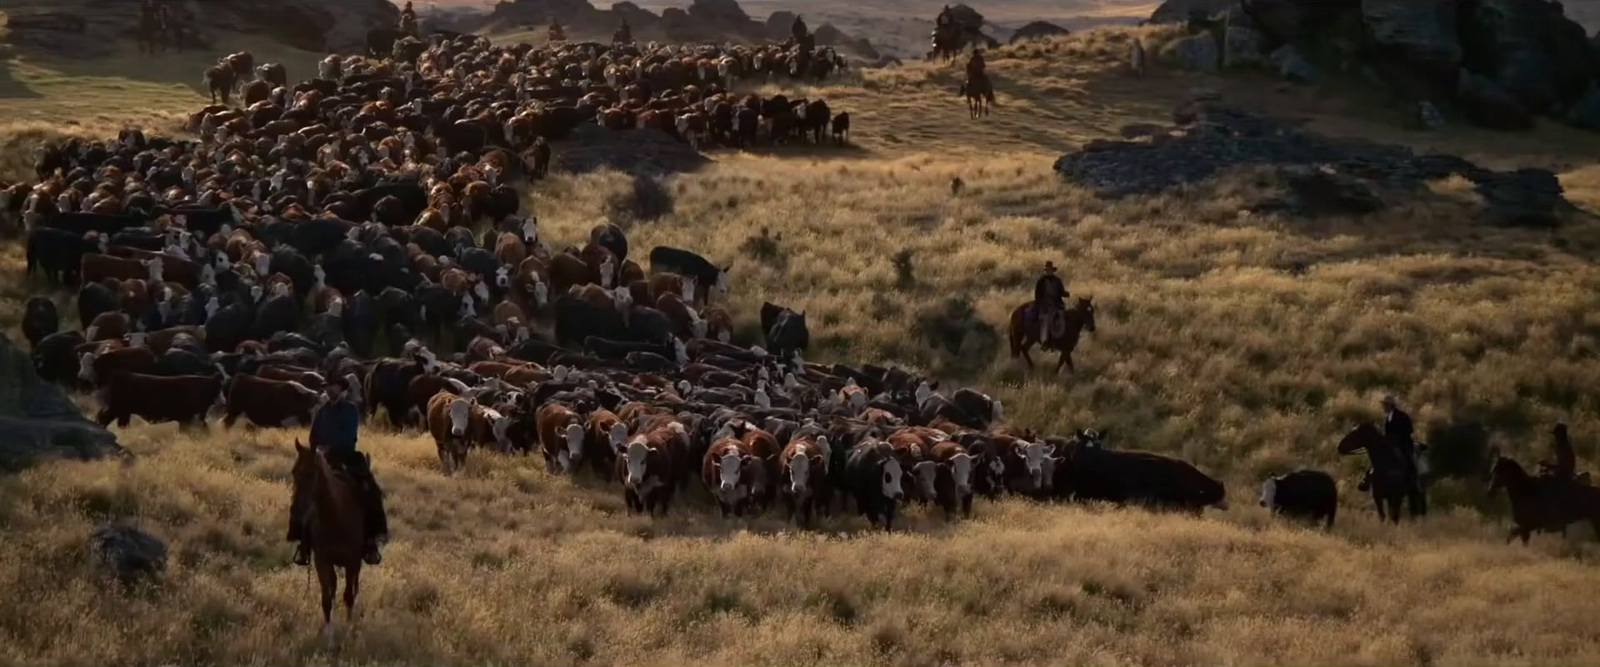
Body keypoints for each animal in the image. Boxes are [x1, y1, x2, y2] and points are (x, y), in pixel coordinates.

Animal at [289, 438, 364, 643]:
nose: (297, 512)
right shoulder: (322, 561)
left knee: (353, 588)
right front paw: (329, 637)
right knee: (334, 588)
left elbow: (348, 596)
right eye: (294, 472)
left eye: (312, 473)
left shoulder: (352, 562)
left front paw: (348, 630)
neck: (335, 516)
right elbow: (326, 599)